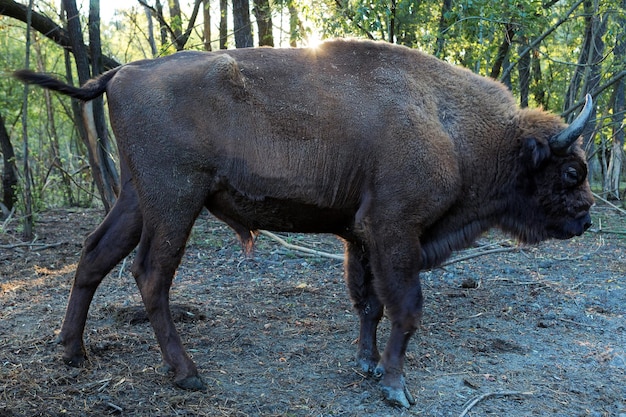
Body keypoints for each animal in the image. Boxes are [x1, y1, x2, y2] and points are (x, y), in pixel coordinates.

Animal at [13, 39, 588, 406]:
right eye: (571, 171)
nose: (584, 218)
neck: (448, 125)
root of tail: (121, 72)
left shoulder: (360, 237)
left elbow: (369, 303)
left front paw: (367, 365)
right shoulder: (394, 230)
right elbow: (406, 309)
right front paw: (395, 388)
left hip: (135, 198)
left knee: (94, 256)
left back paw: (72, 352)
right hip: (175, 200)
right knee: (150, 274)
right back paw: (187, 375)